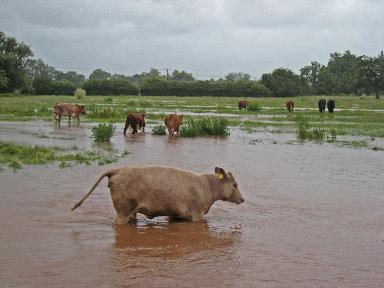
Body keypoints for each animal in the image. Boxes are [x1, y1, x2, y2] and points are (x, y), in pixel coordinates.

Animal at [71, 165, 244, 224]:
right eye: (235, 184)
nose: (242, 199)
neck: (207, 185)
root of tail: (118, 170)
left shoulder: (176, 214)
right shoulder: (197, 214)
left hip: (131, 211)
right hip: (123, 210)